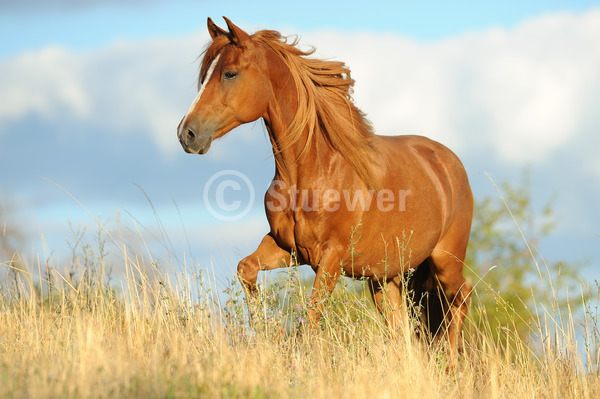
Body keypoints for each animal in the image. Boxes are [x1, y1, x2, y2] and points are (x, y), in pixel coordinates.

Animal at [178, 16, 474, 362]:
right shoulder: (288, 248)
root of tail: (449, 162)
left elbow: (309, 320)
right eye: (205, 76)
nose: (187, 134)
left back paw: (451, 364)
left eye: (230, 73)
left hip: (445, 260)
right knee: (401, 328)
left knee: (461, 298)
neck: (312, 171)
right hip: (383, 279)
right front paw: (265, 333)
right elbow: (246, 268)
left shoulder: (331, 259)